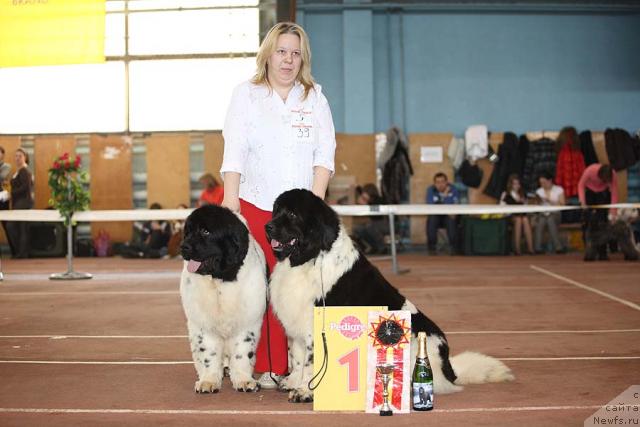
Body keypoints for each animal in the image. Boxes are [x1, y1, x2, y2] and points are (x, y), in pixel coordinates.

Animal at [179, 206, 266, 394]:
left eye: (205, 231)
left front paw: (244, 380)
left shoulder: (247, 322)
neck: (219, 280)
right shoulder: (204, 324)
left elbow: (242, 352)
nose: (183, 247)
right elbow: (208, 353)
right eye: (187, 232)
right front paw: (208, 381)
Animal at [264, 191, 516, 404]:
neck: (310, 257)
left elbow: (310, 361)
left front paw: (305, 391)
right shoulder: (296, 324)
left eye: (293, 214)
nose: (268, 226)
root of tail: (449, 370)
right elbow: (297, 357)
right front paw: (293, 382)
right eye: (277, 210)